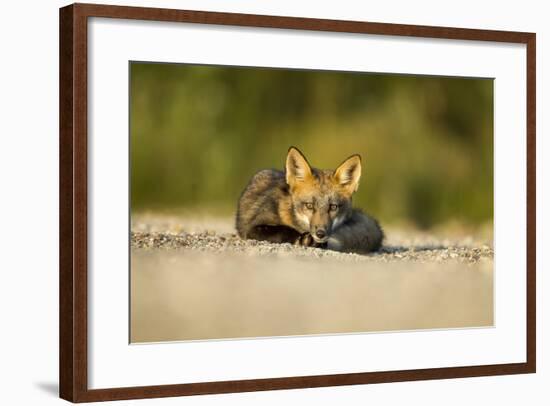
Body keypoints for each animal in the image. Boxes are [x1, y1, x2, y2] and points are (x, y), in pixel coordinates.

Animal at [236, 146, 384, 254]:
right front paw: (303, 239)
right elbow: (283, 230)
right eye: (309, 205)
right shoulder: (253, 227)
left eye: (333, 207)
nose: (320, 234)